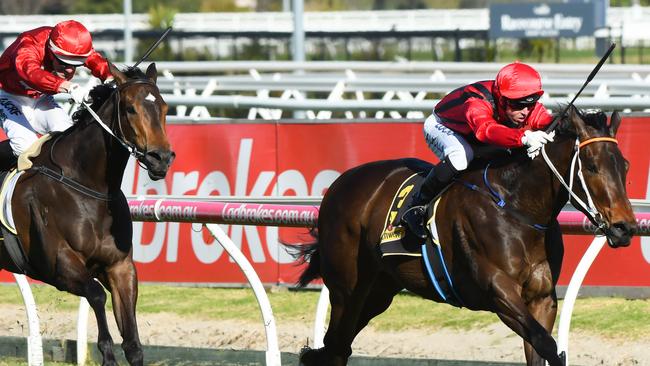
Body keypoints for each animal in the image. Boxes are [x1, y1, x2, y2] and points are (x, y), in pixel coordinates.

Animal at [0, 63, 173, 366]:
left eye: (164, 107)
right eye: (130, 108)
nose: (160, 158)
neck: (88, 184)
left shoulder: (120, 266)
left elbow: (133, 343)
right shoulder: (58, 266)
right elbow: (96, 295)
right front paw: (107, 354)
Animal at [296, 105, 636, 366]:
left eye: (625, 165)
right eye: (591, 166)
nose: (626, 228)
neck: (516, 206)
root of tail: (339, 184)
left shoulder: (541, 298)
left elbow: (541, 348)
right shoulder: (498, 290)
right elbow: (548, 345)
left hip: (379, 290)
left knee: (337, 347)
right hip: (347, 289)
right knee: (336, 347)